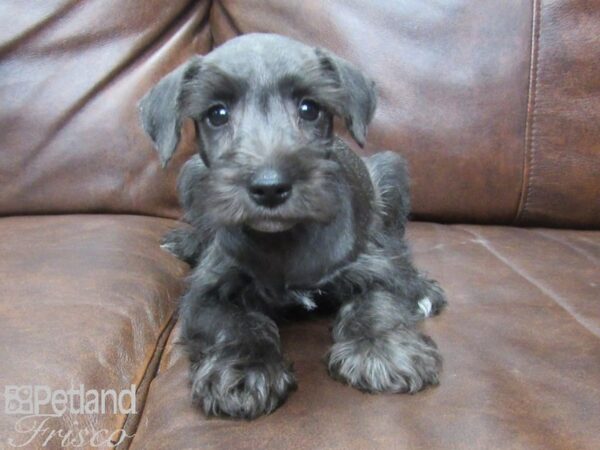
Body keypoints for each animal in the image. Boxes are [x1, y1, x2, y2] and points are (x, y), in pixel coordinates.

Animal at [137, 33, 446, 420]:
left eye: (310, 108)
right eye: (216, 114)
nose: (270, 187)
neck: (284, 240)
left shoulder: (372, 267)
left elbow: (378, 301)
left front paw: (382, 348)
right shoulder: (206, 296)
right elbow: (235, 322)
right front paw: (244, 368)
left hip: (390, 173)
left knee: (399, 250)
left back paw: (423, 289)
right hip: (190, 174)